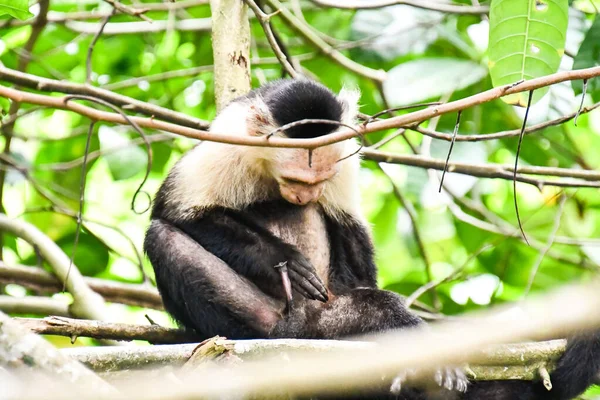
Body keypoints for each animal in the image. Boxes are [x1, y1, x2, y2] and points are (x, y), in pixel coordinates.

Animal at [145, 79, 600, 398]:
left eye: (318, 179)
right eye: (295, 179)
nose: (304, 194)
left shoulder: (343, 155)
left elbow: (353, 243)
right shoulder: (225, 144)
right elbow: (175, 212)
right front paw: (283, 261)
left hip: (327, 321)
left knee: (368, 303)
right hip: (271, 324)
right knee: (162, 237)